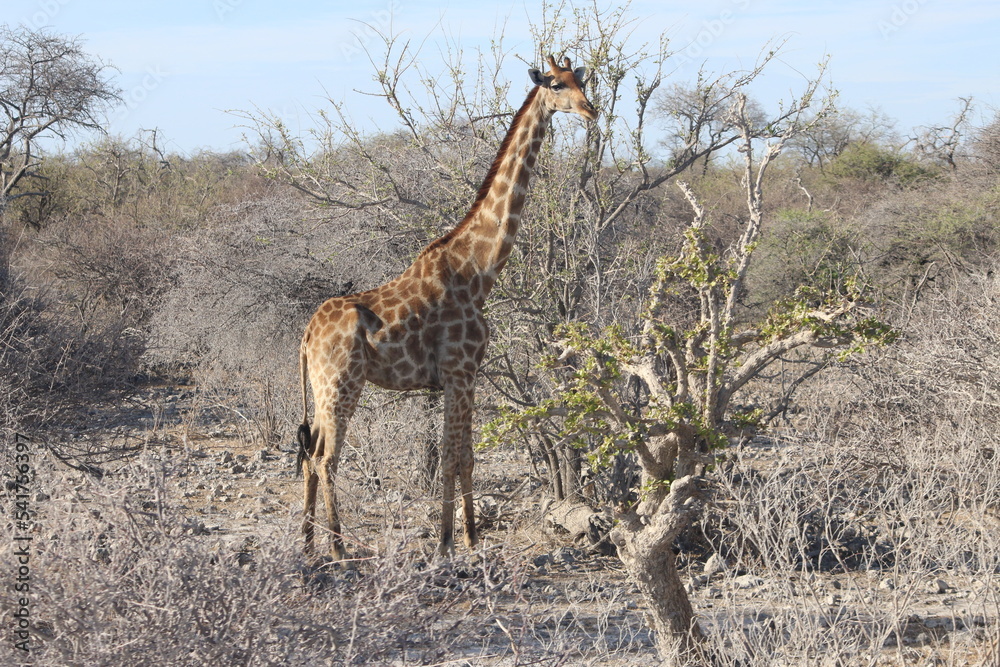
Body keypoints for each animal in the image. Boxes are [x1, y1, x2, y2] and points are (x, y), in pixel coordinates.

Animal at [297, 55, 597, 560]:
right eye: (556, 85)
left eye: (582, 80)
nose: (591, 110)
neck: (478, 269)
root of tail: (305, 337)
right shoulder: (460, 370)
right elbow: (454, 456)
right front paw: (447, 542)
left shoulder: (465, 375)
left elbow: (465, 456)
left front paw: (469, 537)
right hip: (341, 384)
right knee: (325, 458)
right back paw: (337, 548)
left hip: (322, 389)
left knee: (308, 453)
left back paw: (306, 542)